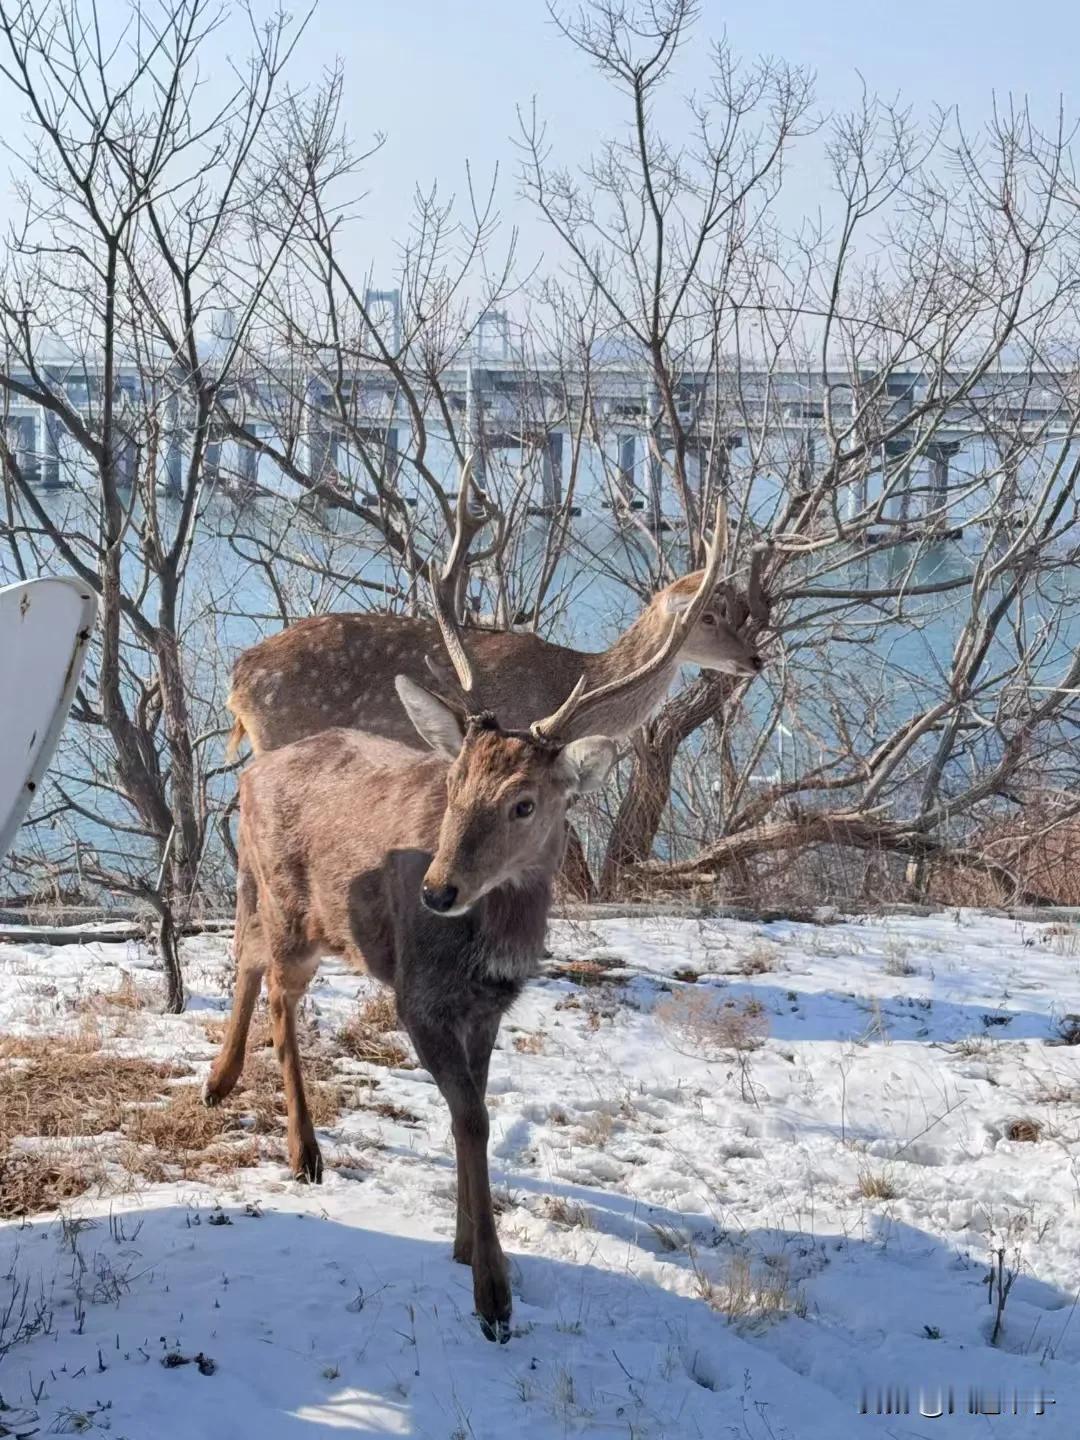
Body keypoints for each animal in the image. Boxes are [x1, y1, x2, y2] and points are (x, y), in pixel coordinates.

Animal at [203, 515, 728, 1336]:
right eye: (452, 786)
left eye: (525, 802)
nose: (436, 890)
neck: (487, 951)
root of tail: (253, 772)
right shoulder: (418, 995)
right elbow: (471, 1119)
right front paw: (492, 1290)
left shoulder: (489, 1008)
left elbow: (472, 1111)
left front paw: (465, 1245)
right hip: (292, 909)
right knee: (278, 987)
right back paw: (303, 1151)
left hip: (282, 906)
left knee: (248, 953)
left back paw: (220, 1084)